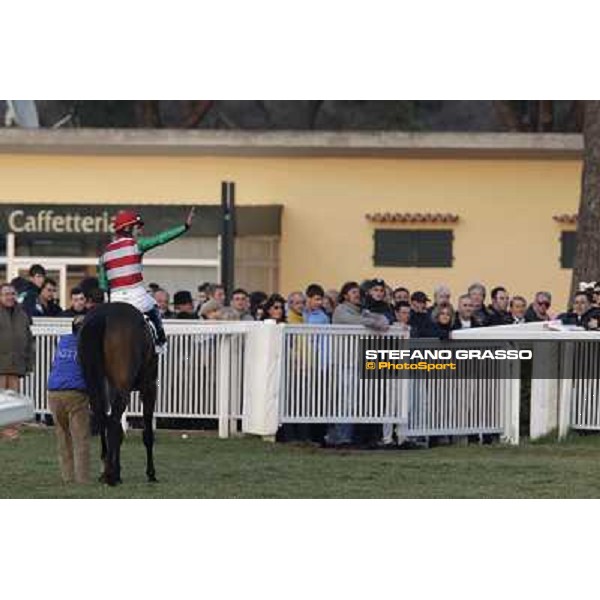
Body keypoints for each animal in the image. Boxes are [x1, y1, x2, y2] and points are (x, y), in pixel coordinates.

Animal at [79, 302, 159, 486]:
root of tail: (104, 316)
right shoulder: (149, 387)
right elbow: (147, 433)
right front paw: (151, 473)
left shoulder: (110, 387)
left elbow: (119, 430)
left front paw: (118, 470)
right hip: (125, 389)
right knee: (112, 421)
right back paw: (110, 475)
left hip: (95, 383)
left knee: (102, 416)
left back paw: (107, 470)